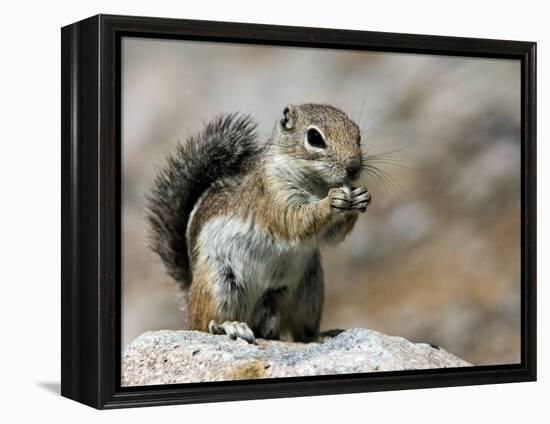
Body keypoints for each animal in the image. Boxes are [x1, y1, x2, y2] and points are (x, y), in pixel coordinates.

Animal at [147, 102, 374, 344]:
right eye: (314, 138)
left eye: (358, 136)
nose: (354, 167)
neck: (317, 184)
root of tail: (189, 294)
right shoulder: (273, 194)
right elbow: (296, 221)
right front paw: (332, 201)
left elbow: (332, 237)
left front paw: (360, 197)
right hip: (220, 284)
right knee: (204, 324)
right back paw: (230, 326)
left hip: (308, 291)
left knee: (300, 332)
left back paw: (318, 335)